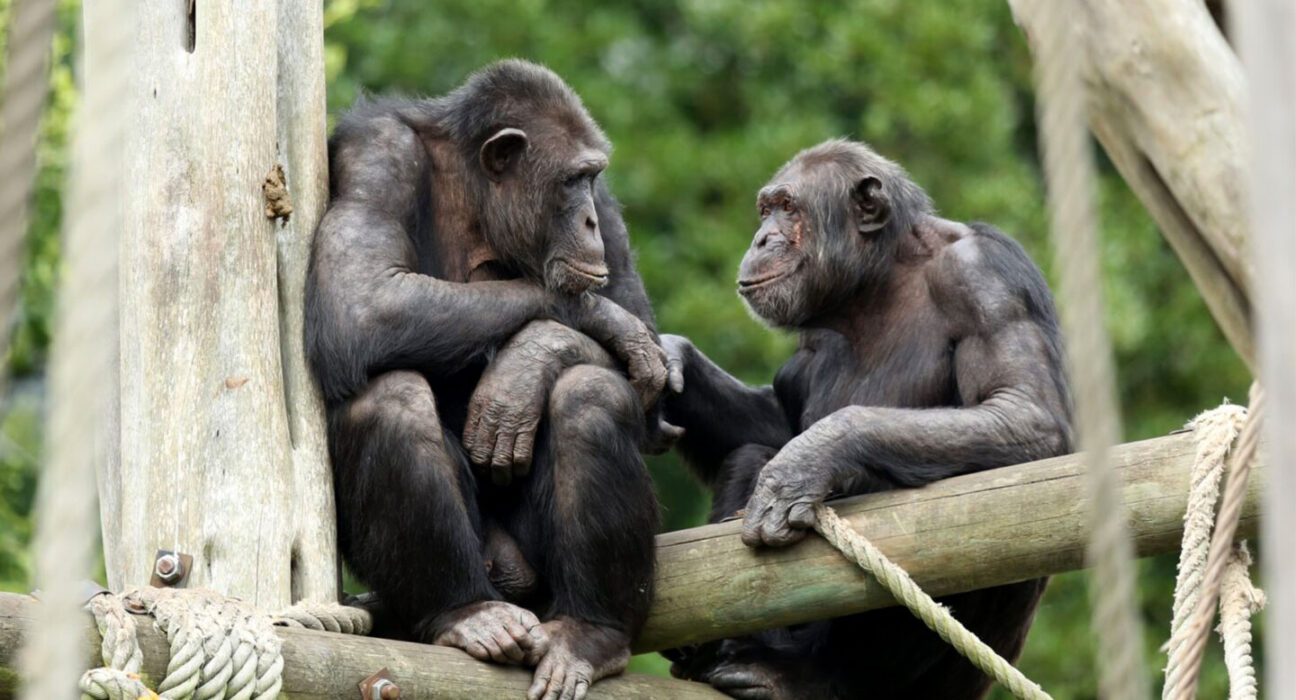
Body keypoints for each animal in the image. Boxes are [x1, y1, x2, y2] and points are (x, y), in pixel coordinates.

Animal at [303, 61, 668, 699]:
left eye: (591, 178)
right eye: (571, 180)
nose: (587, 219)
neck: (477, 193)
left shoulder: (610, 214)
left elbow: (652, 373)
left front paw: (531, 360)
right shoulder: (376, 156)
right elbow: (361, 300)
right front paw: (599, 319)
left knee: (591, 397)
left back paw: (590, 633)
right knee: (391, 398)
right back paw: (465, 612)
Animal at [663, 139, 1067, 694]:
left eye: (788, 208)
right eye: (765, 210)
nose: (763, 237)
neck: (876, 284)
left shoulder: (985, 277)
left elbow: (1024, 410)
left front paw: (809, 461)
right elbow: (774, 423)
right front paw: (670, 361)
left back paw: (802, 677)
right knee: (751, 452)